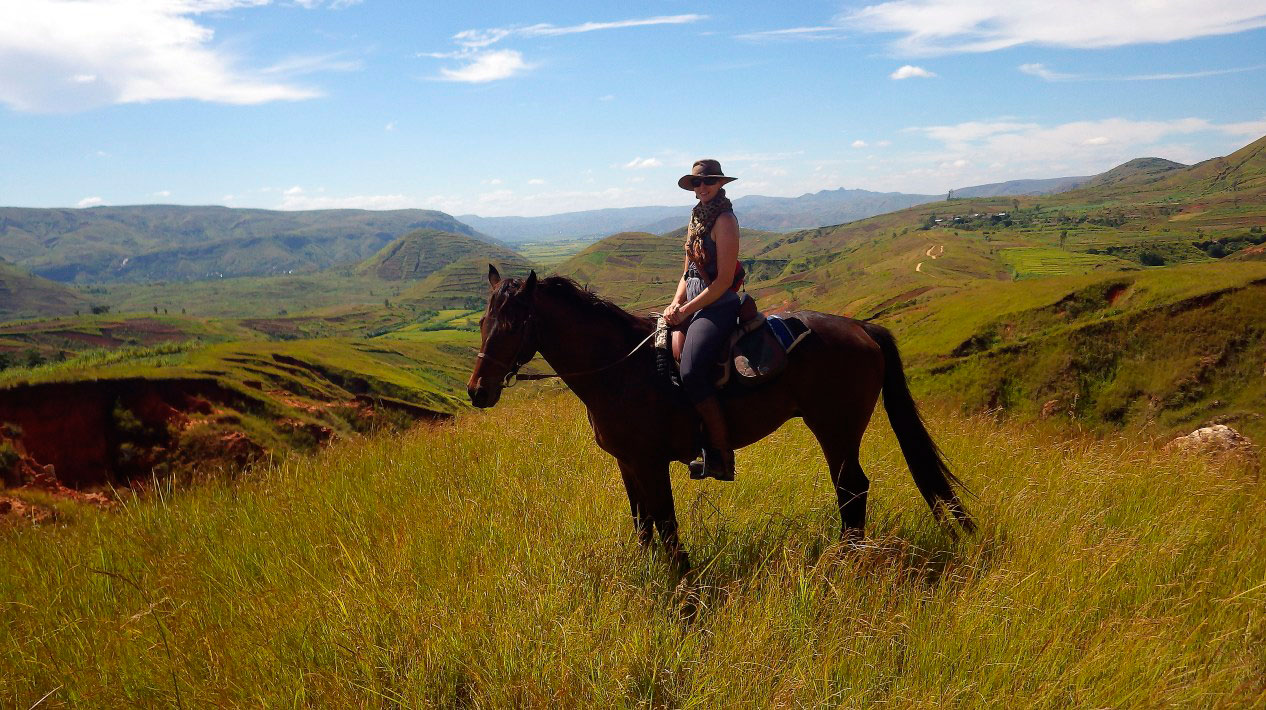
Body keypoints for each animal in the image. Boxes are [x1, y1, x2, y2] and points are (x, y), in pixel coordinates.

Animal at [470, 263, 972, 566]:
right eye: (481, 322)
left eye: (513, 325)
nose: (478, 392)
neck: (619, 367)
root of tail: (862, 327)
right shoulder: (627, 464)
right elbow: (642, 525)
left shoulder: (651, 464)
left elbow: (667, 526)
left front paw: (683, 595)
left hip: (836, 429)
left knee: (852, 488)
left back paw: (846, 562)